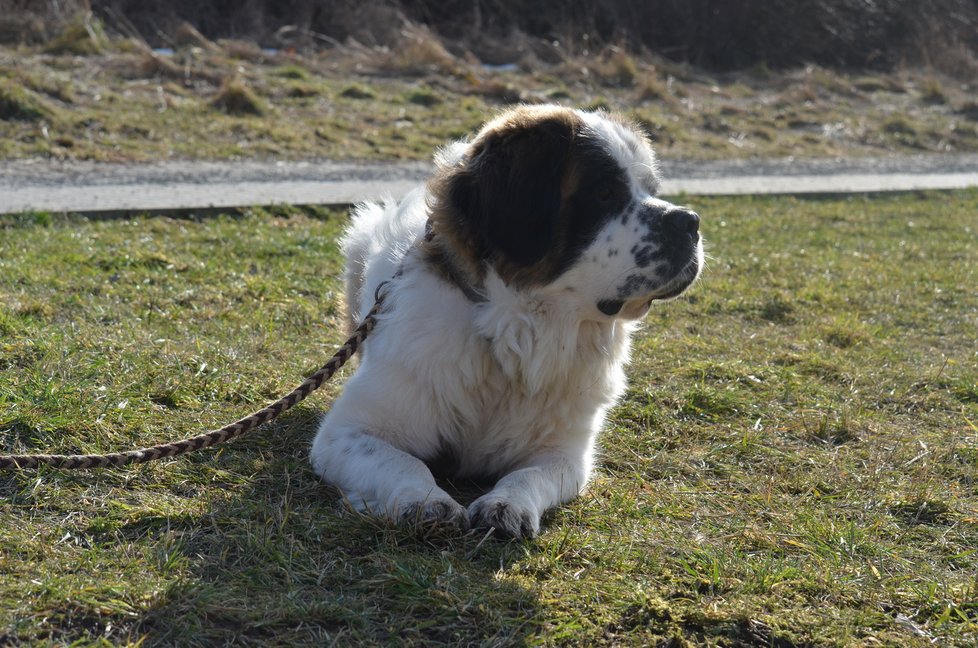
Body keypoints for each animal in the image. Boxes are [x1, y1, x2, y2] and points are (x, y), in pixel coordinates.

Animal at [312, 105, 700, 536]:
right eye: (604, 193)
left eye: (651, 189)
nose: (690, 221)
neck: (516, 331)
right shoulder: (346, 432)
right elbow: (402, 461)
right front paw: (425, 500)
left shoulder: (565, 453)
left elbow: (529, 475)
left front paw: (506, 505)